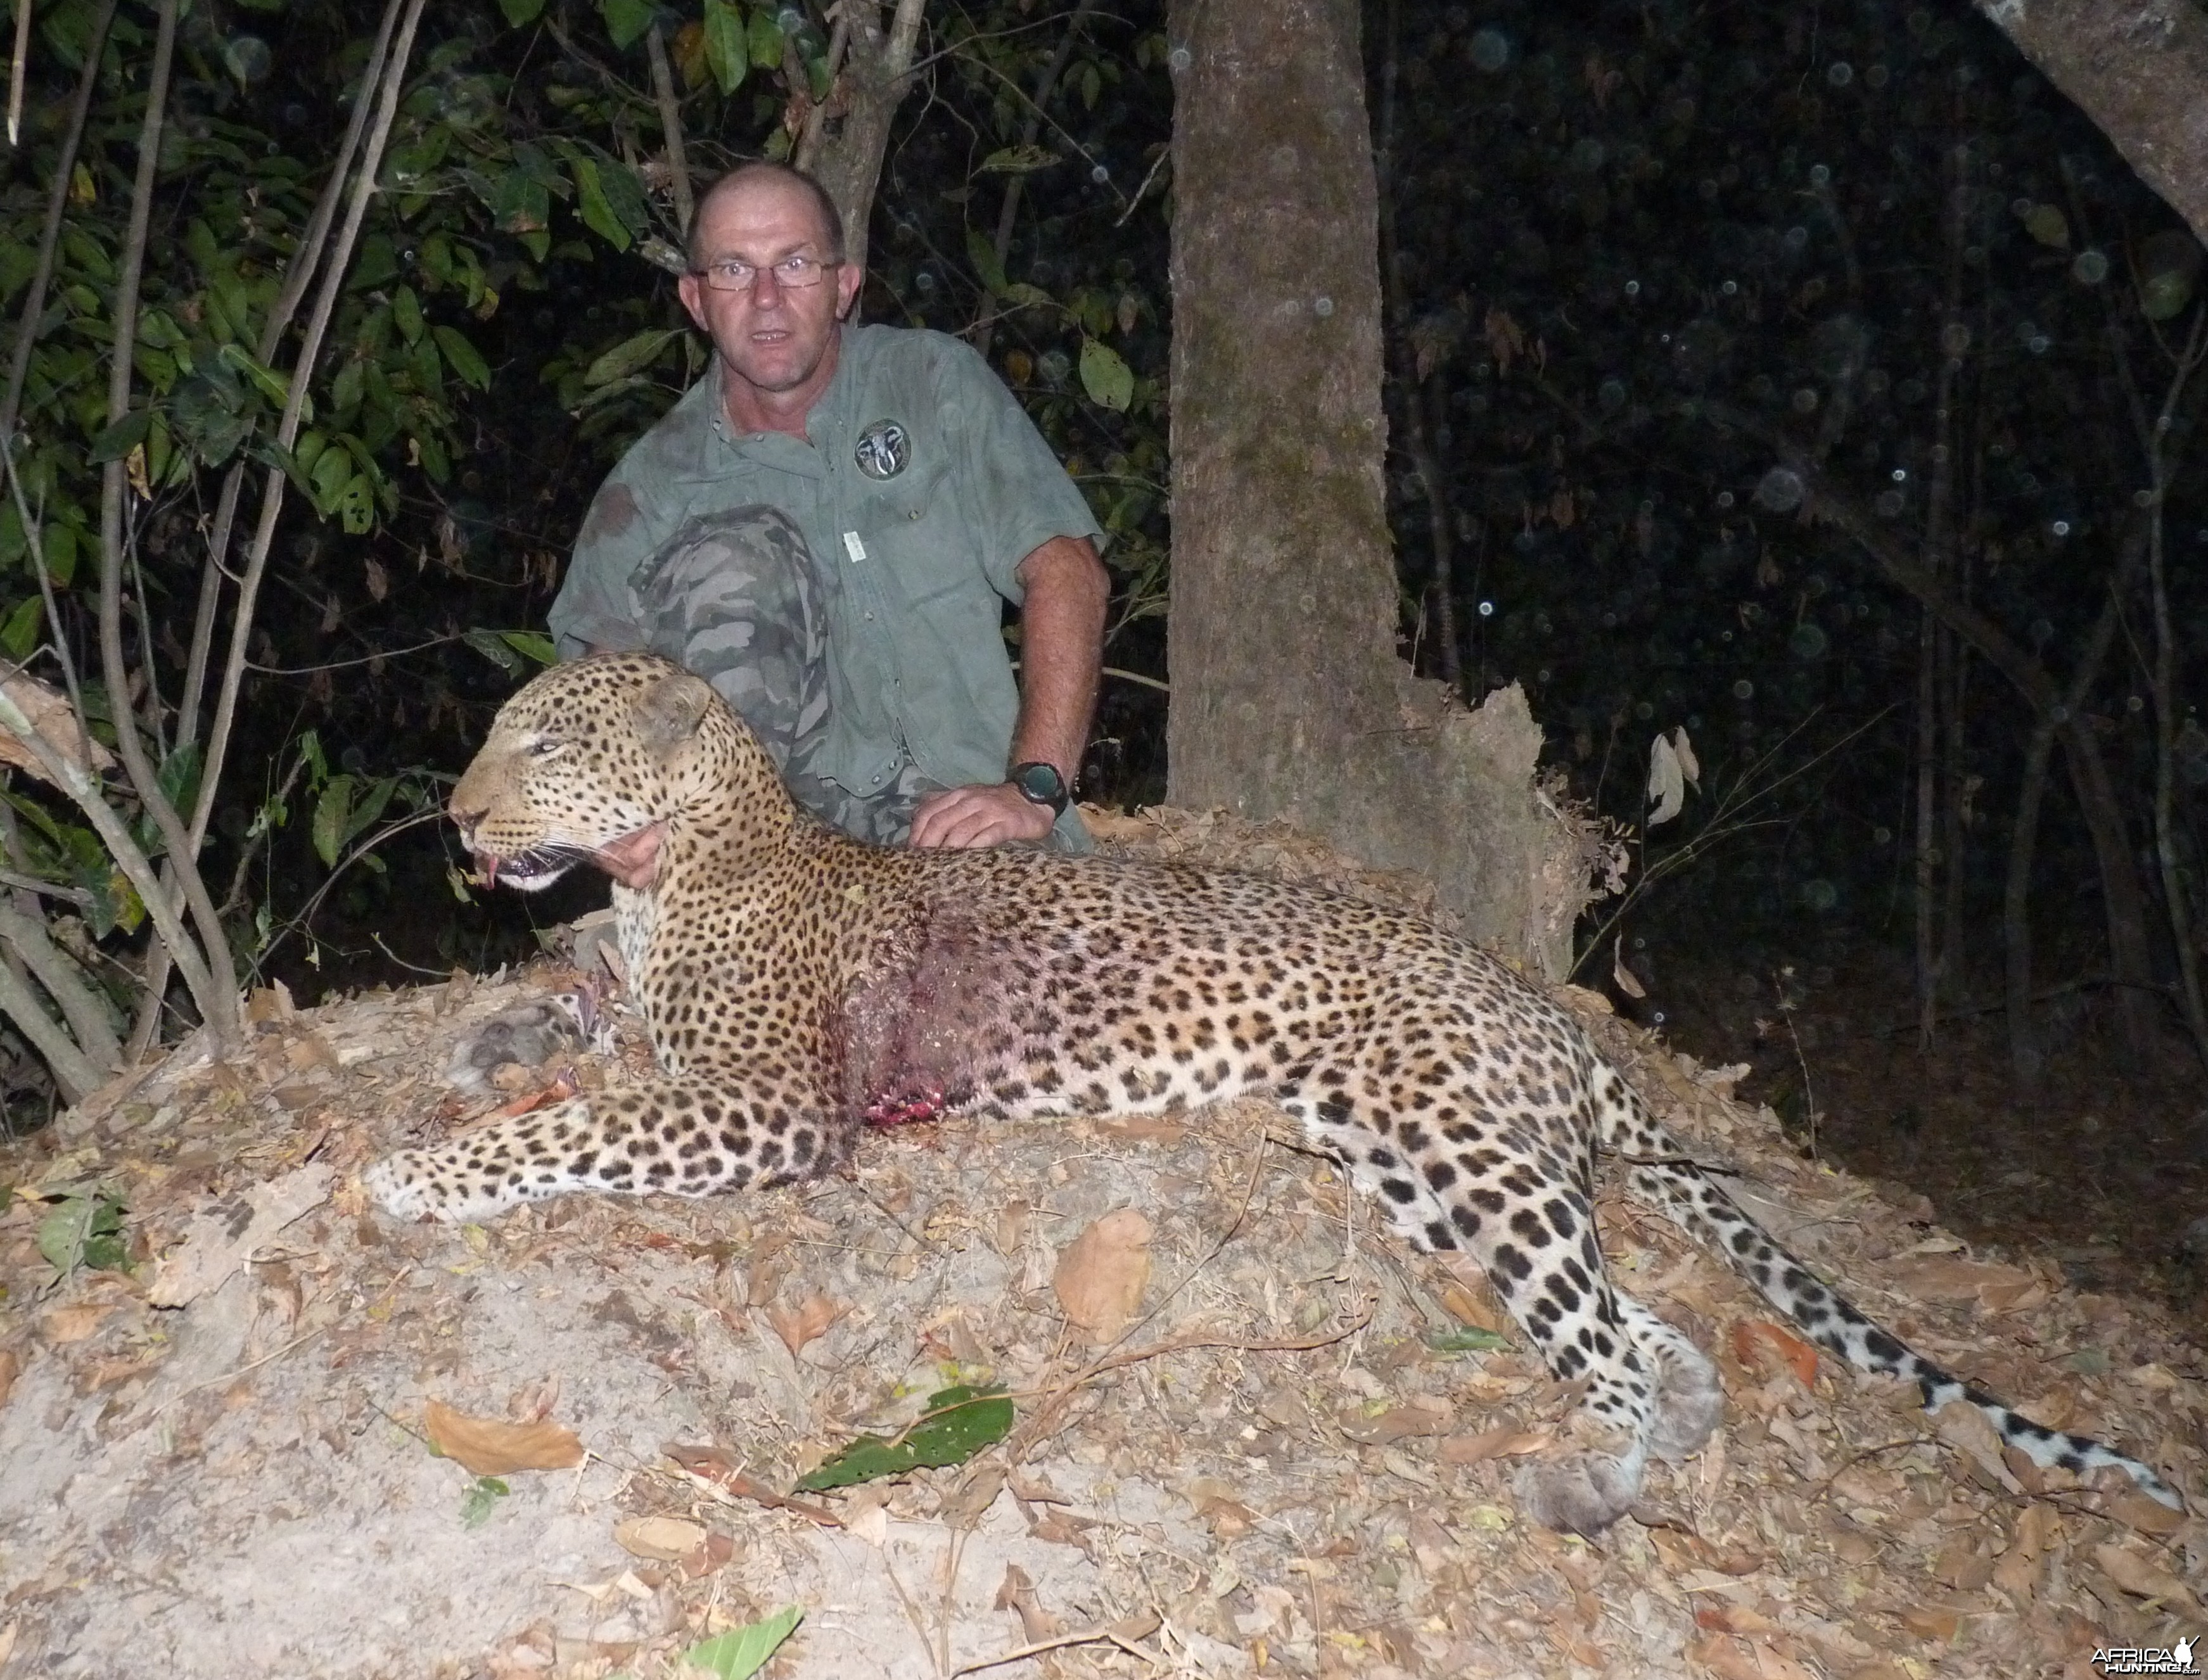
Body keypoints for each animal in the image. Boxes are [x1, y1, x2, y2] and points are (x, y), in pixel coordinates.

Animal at [362, 653, 2173, 1536]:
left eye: (540, 741)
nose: (458, 819)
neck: (678, 868)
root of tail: (1539, 1000)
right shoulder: (663, 1033)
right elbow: (572, 1030)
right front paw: (488, 1045)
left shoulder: (762, 1100)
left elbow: (580, 1126)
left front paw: (415, 1176)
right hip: (1408, 1160)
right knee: (1648, 1322)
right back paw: (1668, 1435)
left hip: (1454, 1145)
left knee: (1603, 1338)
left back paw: (1587, 1485)